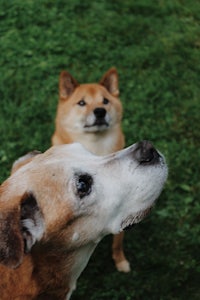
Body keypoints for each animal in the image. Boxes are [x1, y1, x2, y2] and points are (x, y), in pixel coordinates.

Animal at [50, 67, 130, 272]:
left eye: (105, 101)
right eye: (81, 103)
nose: (100, 111)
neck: (95, 149)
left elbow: (118, 241)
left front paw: (120, 260)